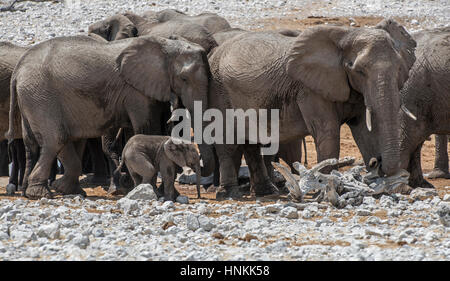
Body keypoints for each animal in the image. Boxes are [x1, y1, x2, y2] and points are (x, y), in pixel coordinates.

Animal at [7, 34, 211, 198]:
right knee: (56, 139)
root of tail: (18, 70)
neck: (166, 45)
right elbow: (147, 127)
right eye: (184, 79)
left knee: (49, 141)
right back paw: (41, 193)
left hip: (34, 97)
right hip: (40, 96)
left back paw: (61, 190)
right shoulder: (135, 90)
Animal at [207, 19, 414, 199]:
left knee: (251, 143)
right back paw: (229, 194)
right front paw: (328, 189)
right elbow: (328, 134)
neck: (346, 34)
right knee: (227, 141)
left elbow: (364, 131)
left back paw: (266, 192)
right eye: (359, 71)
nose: (375, 162)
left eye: (399, 69)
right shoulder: (309, 90)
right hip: (218, 89)